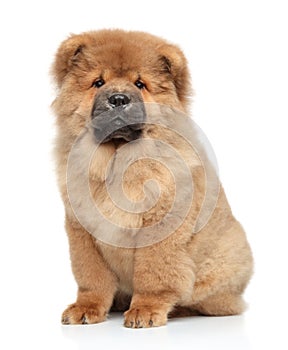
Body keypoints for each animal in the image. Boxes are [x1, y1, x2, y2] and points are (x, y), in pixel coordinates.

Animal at [51, 30, 252, 328]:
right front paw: (86, 308)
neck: (117, 160)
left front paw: (145, 311)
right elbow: (91, 277)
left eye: (140, 84)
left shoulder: (161, 226)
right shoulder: (83, 230)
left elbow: (153, 273)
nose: (119, 98)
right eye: (98, 83)